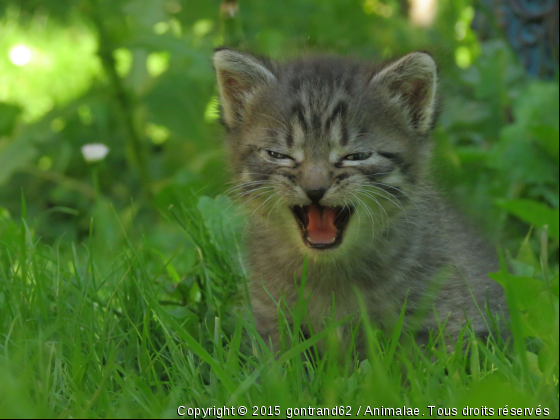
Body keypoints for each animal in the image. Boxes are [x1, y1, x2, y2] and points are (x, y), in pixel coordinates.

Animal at [212, 47, 506, 352]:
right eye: (278, 155)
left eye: (356, 156)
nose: (315, 189)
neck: (329, 270)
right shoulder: (270, 316)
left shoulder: (449, 312)